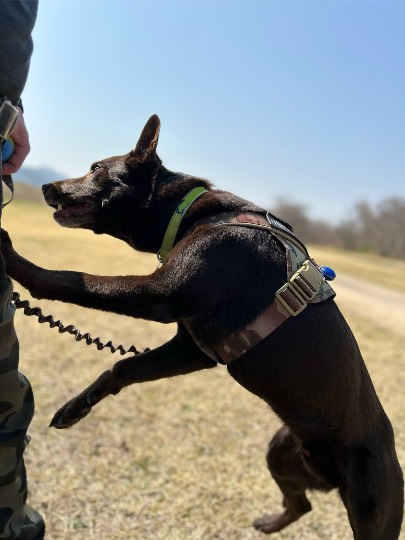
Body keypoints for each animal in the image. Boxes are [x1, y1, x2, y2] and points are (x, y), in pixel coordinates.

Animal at [1, 116, 402, 536]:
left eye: (96, 168)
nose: (47, 186)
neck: (189, 212)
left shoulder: (158, 294)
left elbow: (72, 279)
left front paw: (15, 260)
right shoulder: (193, 348)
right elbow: (123, 366)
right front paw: (77, 407)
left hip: (371, 510)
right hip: (281, 455)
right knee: (301, 504)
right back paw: (268, 524)